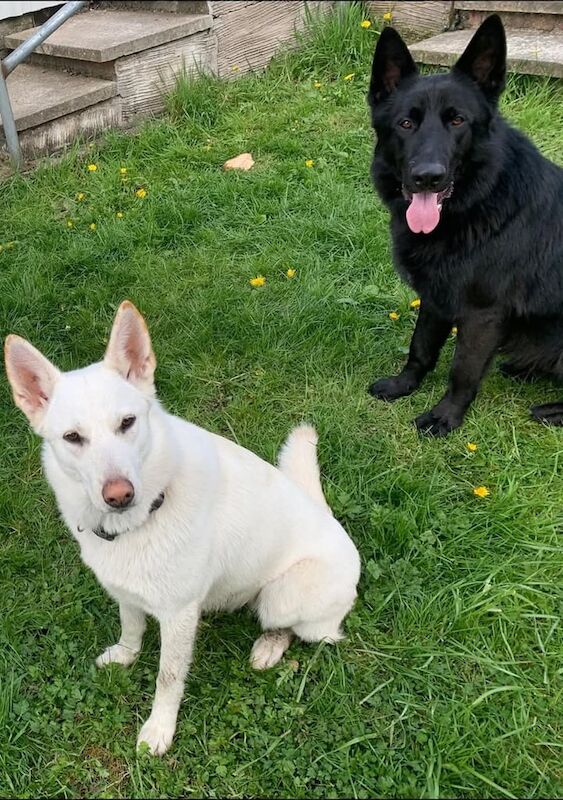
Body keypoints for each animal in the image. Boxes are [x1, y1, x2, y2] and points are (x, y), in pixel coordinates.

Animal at [4, 300, 362, 756]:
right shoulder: (127, 592)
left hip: (282, 597)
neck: (148, 513)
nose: (119, 495)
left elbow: (168, 677)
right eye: (72, 437)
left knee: (308, 632)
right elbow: (131, 629)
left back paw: (269, 646)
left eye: (127, 422)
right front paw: (125, 656)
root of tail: (328, 516)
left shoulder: (178, 615)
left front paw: (159, 730)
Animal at [368, 12, 560, 434]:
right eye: (406, 124)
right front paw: (404, 385)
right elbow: (421, 347)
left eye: (457, 121)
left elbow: (463, 371)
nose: (427, 177)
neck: (479, 201)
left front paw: (445, 417)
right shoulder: (436, 296)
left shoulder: (482, 314)